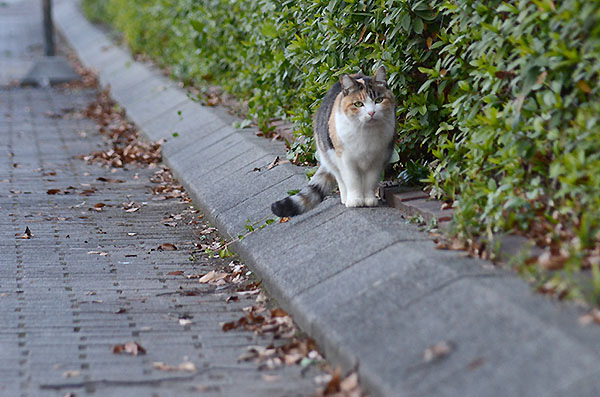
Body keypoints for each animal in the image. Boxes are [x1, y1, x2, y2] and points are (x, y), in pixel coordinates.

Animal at [270, 66, 394, 218]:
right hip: (329, 156)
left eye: (379, 100)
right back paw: (345, 198)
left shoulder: (377, 159)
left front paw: (369, 199)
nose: (371, 113)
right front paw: (355, 200)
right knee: (340, 179)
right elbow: (352, 180)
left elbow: (370, 181)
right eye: (358, 104)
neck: (366, 132)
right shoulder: (346, 159)